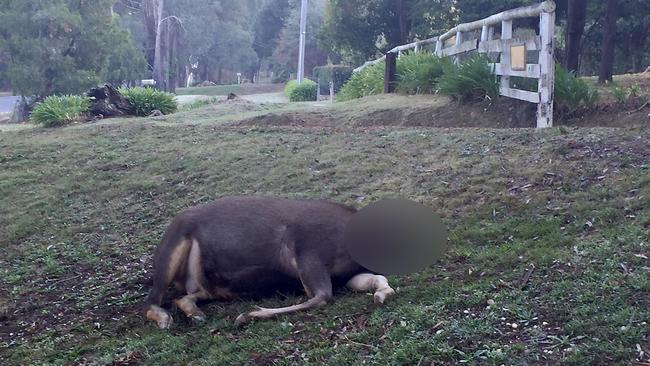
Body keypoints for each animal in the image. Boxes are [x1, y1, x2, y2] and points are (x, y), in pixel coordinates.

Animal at [144, 197, 392, 328]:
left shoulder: (346, 274)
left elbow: (378, 279)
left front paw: (382, 294)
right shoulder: (307, 251)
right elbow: (321, 297)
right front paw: (248, 315)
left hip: (204, 284)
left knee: (184, 297)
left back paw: (196, 314)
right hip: (172, 247)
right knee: (150, 301)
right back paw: (166, 319)